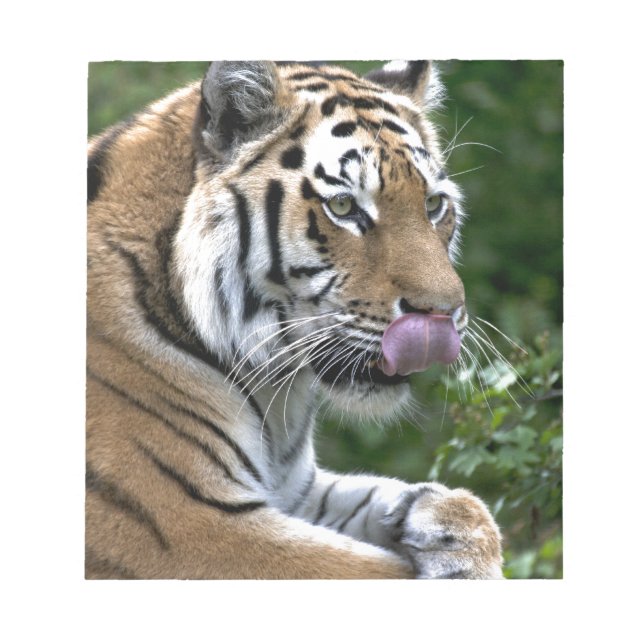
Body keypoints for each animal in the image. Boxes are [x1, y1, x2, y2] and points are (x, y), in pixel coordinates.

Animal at [86, 60, 503, 579]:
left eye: (433, 205)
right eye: (343, 206)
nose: (444, 313)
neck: (273, 393)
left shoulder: (296, 489)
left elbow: (447, 503)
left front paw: (442, 524)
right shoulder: (183, 522)